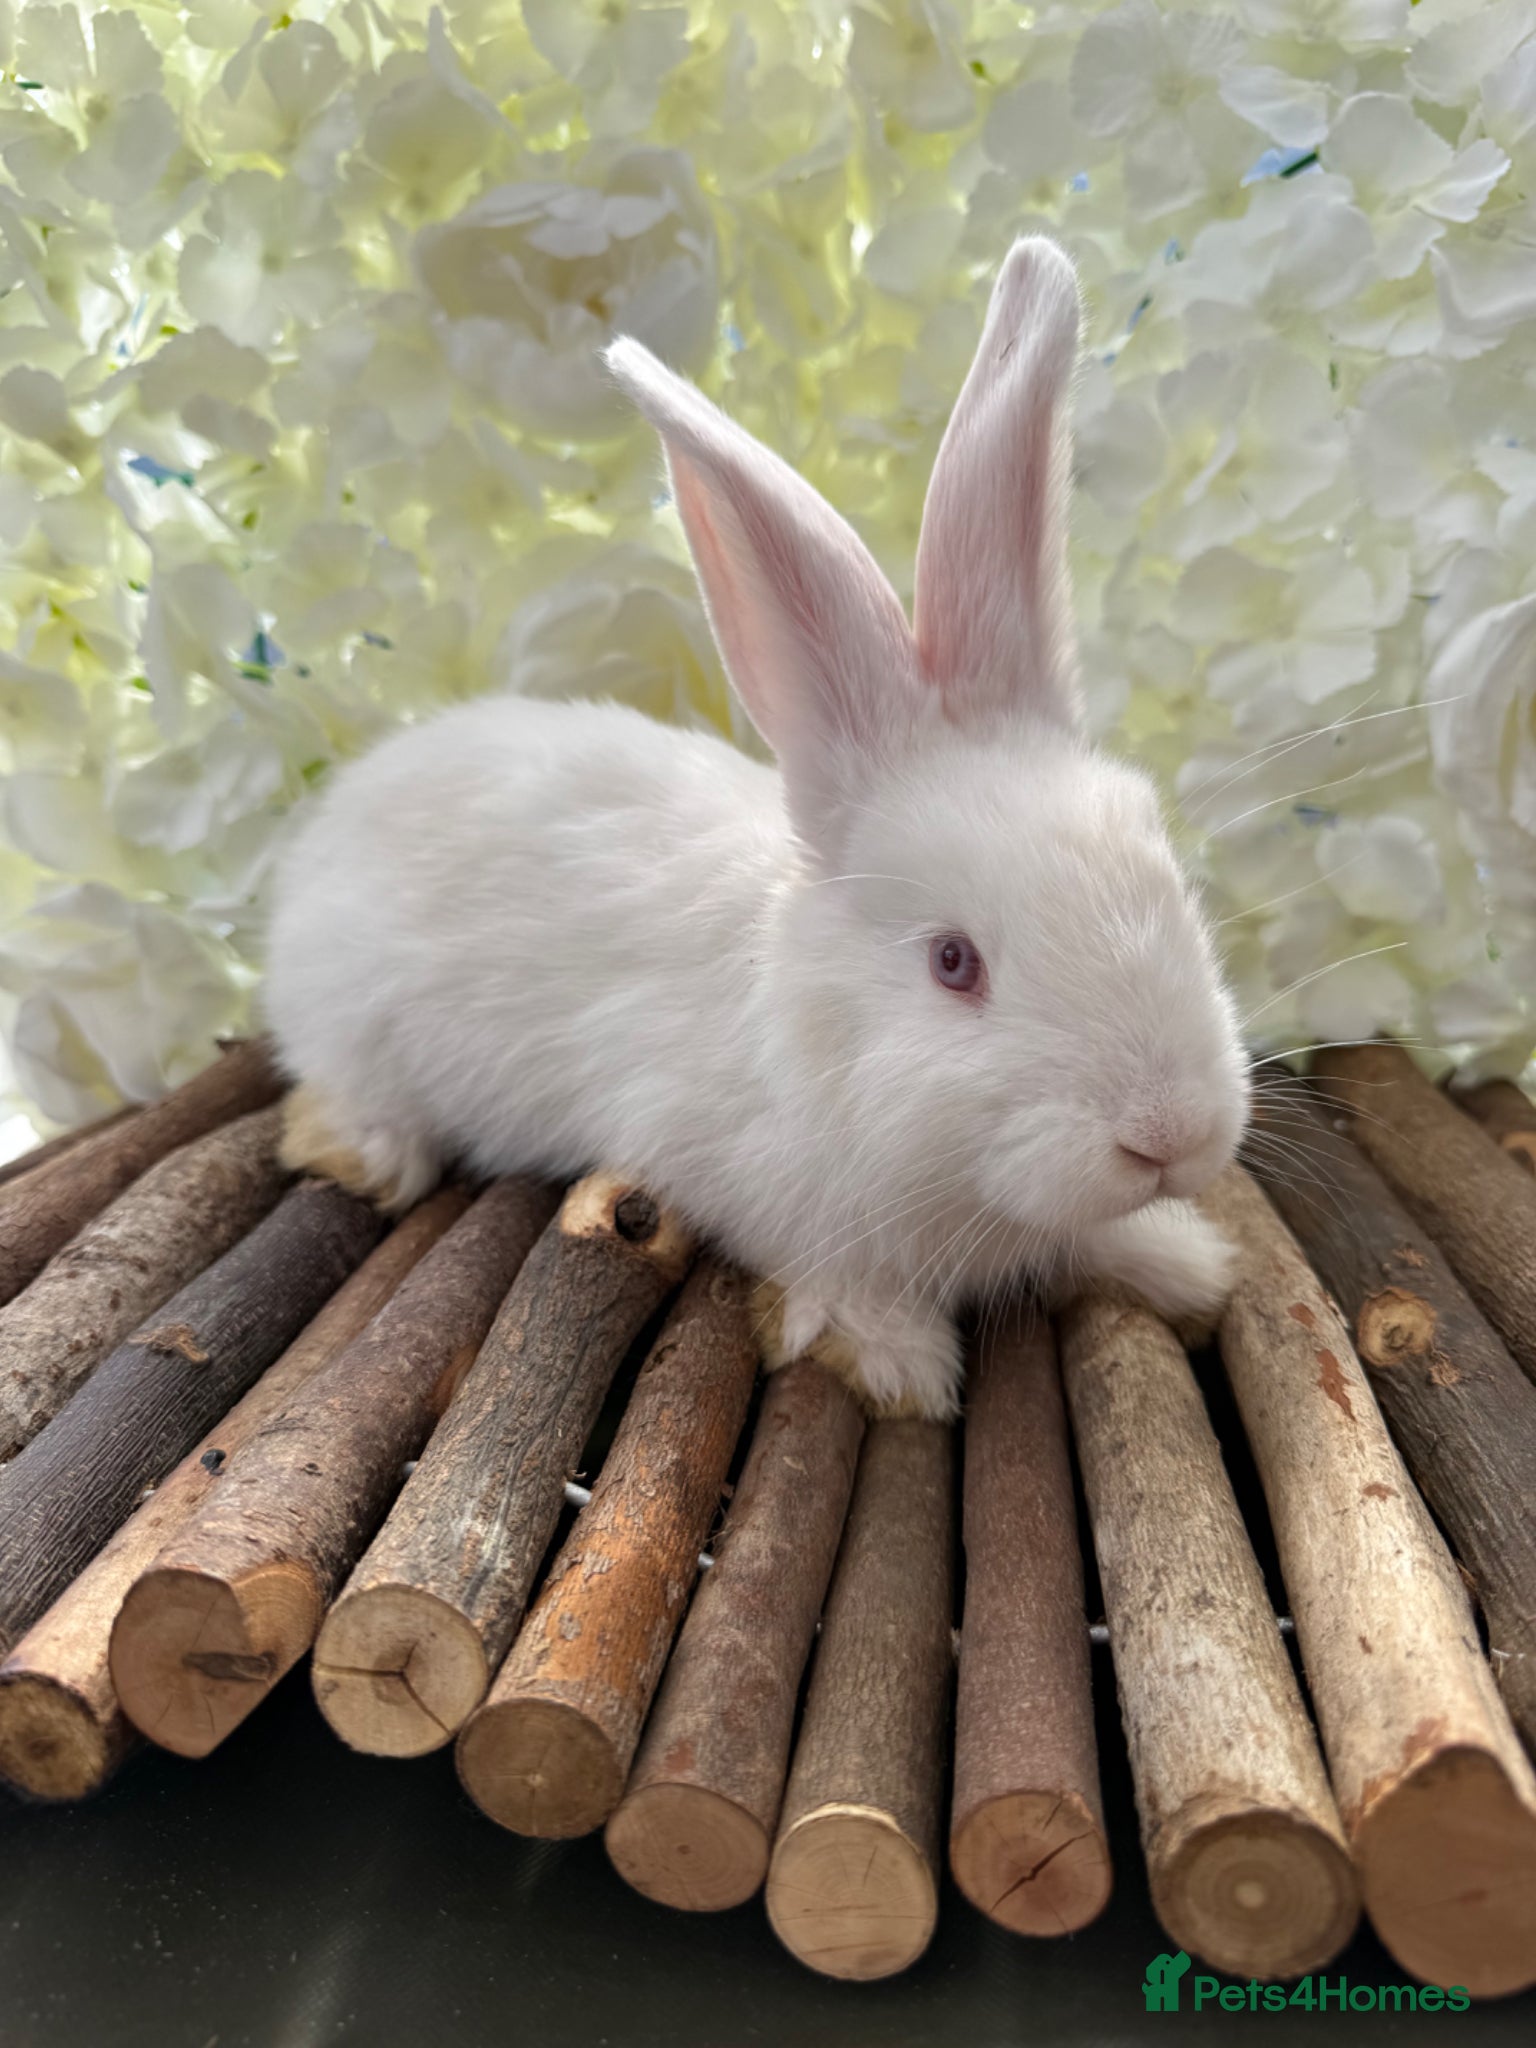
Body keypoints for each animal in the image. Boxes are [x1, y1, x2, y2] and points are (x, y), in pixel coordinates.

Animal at [264, 236, 1250, 1421]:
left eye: (1169, 881)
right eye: (953, 962)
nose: (1171, 1134)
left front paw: (1182, 1263)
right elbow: (835, 1282)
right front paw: (896, 1363)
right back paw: (359, 1151)